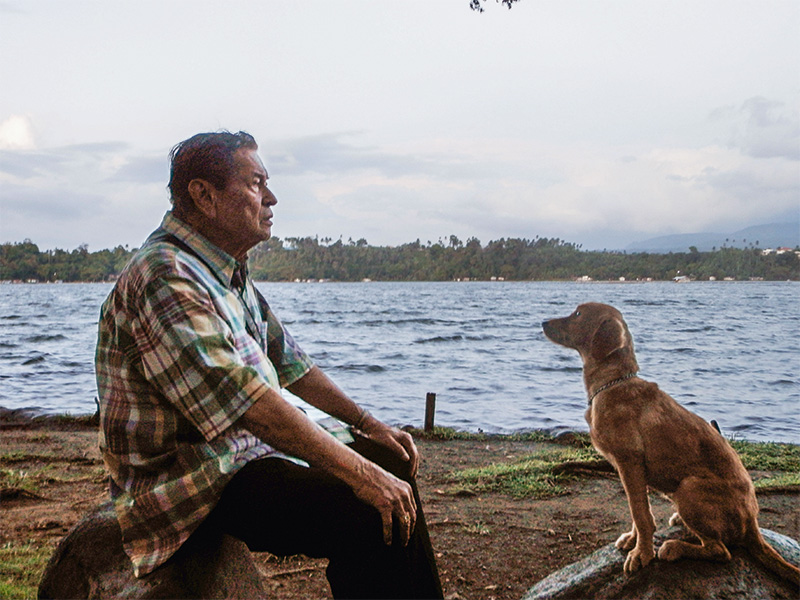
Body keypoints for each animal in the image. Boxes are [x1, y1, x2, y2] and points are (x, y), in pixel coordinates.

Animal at [540, 302, 796, 584]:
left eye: (578, 314)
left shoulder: (630, 461)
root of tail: (752, 522)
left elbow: (641, 515)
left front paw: (641, 554)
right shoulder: (631, 470)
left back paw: (675, 548)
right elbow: (638, 509)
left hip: (688, 488)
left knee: (721, 551)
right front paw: (634, 541)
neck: (612, 384)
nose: (542, 323)